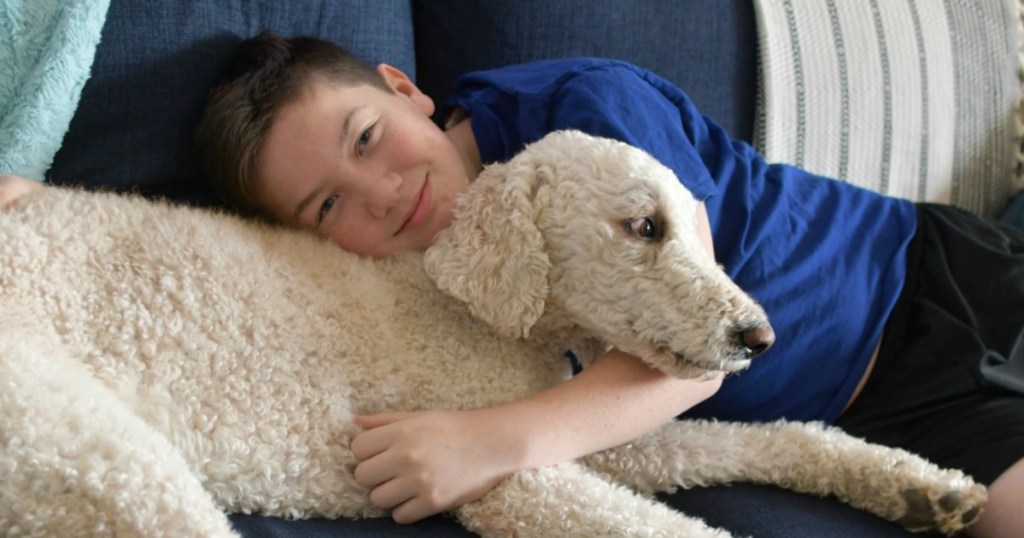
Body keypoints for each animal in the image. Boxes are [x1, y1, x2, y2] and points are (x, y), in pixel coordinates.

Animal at [2, 131, 991, 536]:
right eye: (645, 227)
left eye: (699, 225)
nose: (759, 337)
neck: (471, 308)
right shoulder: (504, 471)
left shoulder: (573, 433)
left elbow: (768, 437)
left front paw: (920, 487)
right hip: (102, 457)